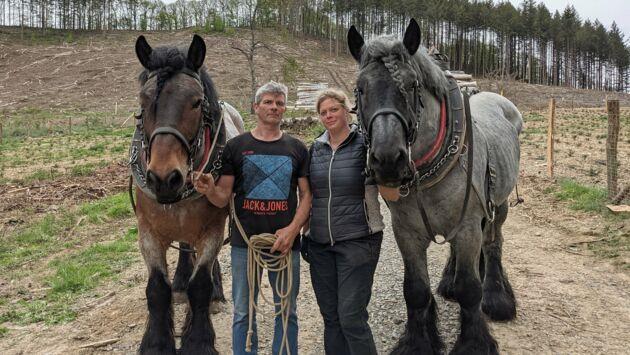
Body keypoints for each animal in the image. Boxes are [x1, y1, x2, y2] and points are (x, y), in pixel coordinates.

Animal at [131, 34, 244, 355]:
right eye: (143, 101)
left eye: (195, 102)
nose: (164, 179)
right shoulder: (148, 231)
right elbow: (157, 289)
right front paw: (156, 343)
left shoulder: (212, 228)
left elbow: (200, 285)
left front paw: (198, 340)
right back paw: (181, 281)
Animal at [348, 18, 520, 354]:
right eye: (361, 89)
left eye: (413, 85)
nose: (388, 160)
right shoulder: (407, 232)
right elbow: (415, 290)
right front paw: (417, 342)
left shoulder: (468, 226)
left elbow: (471, 289)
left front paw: (473, 343)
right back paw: (450, 281)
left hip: (500, 205)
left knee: (493, 243)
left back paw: (496, 296)